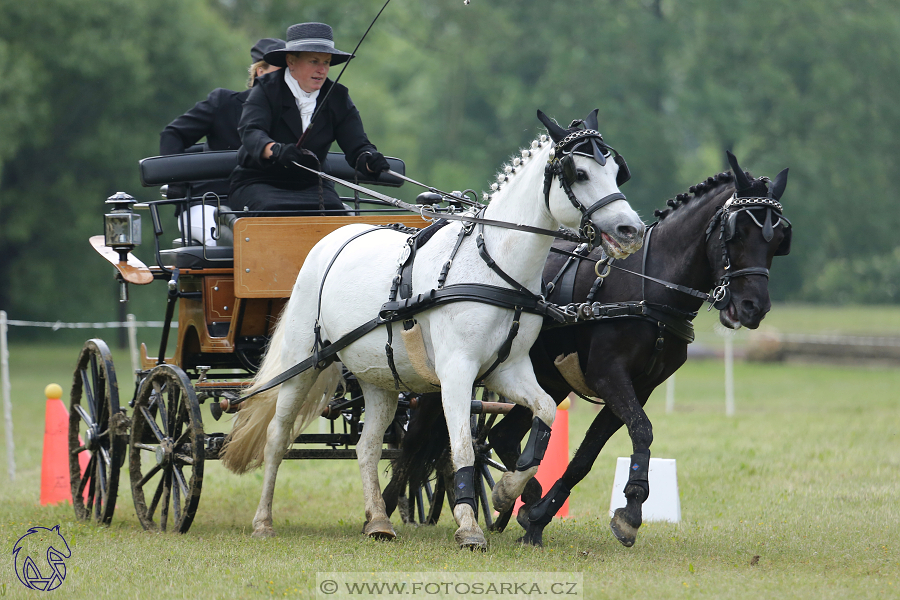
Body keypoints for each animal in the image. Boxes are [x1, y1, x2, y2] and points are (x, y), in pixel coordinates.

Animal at [221, 109, 644, 548]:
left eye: (616, 171)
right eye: (579, 173)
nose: (631, 230)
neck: (494, 268)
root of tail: (330, 238)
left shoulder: (508, 370)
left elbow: (542, 414)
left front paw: (506, 491)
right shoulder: (456, 371)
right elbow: (463, 448)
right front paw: (469, 526)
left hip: (378, 378)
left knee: (367, 446)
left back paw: (378, 520)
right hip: (304, 362)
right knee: (277, 436)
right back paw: (263, 521)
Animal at [384, 152, 792, 548]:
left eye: (778, 240)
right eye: (736, 233)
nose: (754, 307)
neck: (648, 287)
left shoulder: (639, 387)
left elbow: (588, 454)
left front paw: (540, 517)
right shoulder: (608, 374)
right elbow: (642, 431)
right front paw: (630, 511)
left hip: (547, 380)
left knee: (500, 436)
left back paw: (521, 497)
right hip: (453, 370)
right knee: (419, 440)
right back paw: (386, 504)